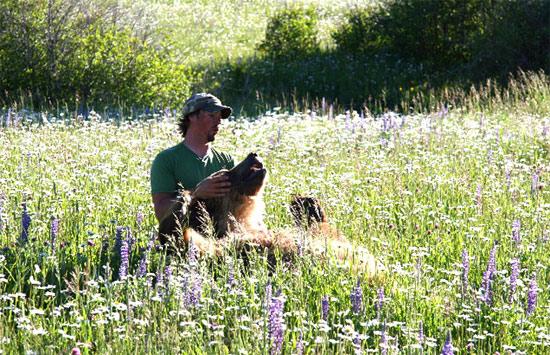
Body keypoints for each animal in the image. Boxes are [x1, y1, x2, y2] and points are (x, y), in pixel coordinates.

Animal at [158, 153, 384, 276]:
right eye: (226, 172)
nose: (253, 154)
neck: (241, 220)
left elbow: (327, 232)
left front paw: (304, 203)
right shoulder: (226, 246)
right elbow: (187, 244)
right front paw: (182, 202)